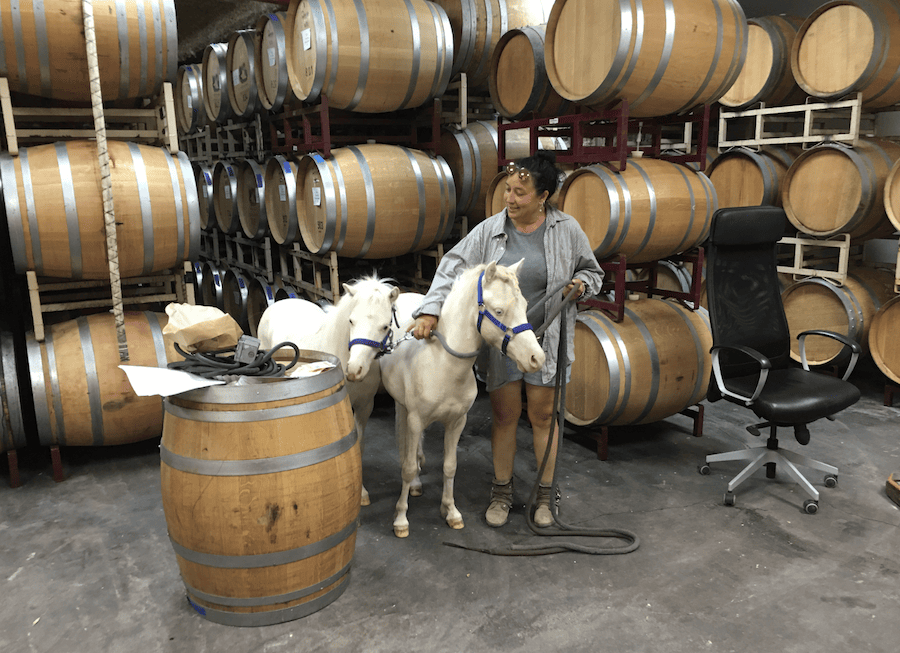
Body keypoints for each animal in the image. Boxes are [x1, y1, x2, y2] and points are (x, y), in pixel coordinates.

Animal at [256, 276, 398, 504]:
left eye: (385, 326)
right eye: (351, 321)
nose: (354, 370)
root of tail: (280, 302)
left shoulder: (365, 406)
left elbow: (359, 444)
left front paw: (361, 492)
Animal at [378, 262, 540, 536]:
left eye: (525, 305)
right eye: (499, 311)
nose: (537, 358)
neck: (444, 365)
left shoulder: (456, 422)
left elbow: (450, 466)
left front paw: (451, 512)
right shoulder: (416, 419)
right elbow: (407, 467)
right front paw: (400, 519)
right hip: (404, 408)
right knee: (405, 446)